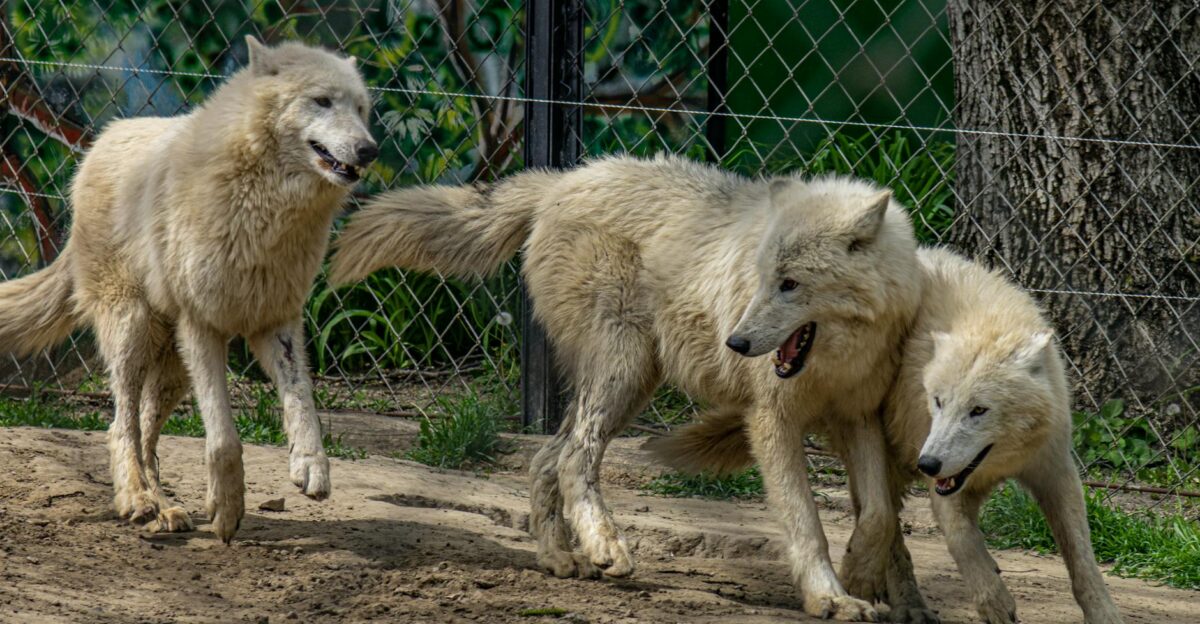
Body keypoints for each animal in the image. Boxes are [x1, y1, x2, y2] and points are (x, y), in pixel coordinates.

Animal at [0, 37, 376, 543]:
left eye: (361, 107)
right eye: (321, 101)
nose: (369, 149)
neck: (266, 211)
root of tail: (99, 143)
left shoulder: (276, 321)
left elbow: (303, 402)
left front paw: (310, 466)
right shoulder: (202, 326)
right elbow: (223, 438)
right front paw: (227, 508)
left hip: (172, 366)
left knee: (144, 432)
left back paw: (164, 508)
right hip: (134, 331)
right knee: (120, 427)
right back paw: (137, 500)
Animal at [330, 154, 924, 621]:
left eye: (791, 284)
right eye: (762, 281)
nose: (735, 341)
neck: (835, 359)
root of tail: (562, 180)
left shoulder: (858, 417)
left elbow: (878, 515)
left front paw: (860, 579)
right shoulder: (771, 420)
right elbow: (806, 522)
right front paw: (831, 597)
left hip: (627, 383)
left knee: (545, 459)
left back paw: (561, 559)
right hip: (625, 371)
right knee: (576, 458)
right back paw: (606, 547)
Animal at [659, 247, 1123, 624]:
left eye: (978, 410)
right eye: (937, 402)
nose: (929, 464)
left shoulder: (1055, 471)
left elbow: (1083, 561)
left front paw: (1103, 614)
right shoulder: (938, 470)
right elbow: (963, 543)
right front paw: (994, 602)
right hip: (883, 454)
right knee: (887, 528)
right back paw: (905, 604)